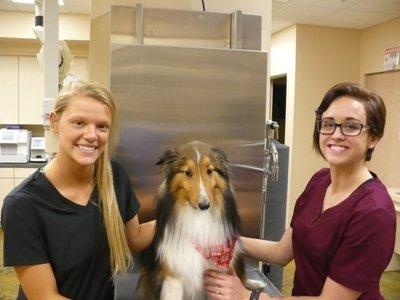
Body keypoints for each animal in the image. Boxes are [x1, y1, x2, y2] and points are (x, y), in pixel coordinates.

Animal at [139, 141, 248, 300]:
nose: (205, 205)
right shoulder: (174, 275)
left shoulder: (217, 276)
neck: (198, 218)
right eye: (188, 173)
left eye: (210, 171)